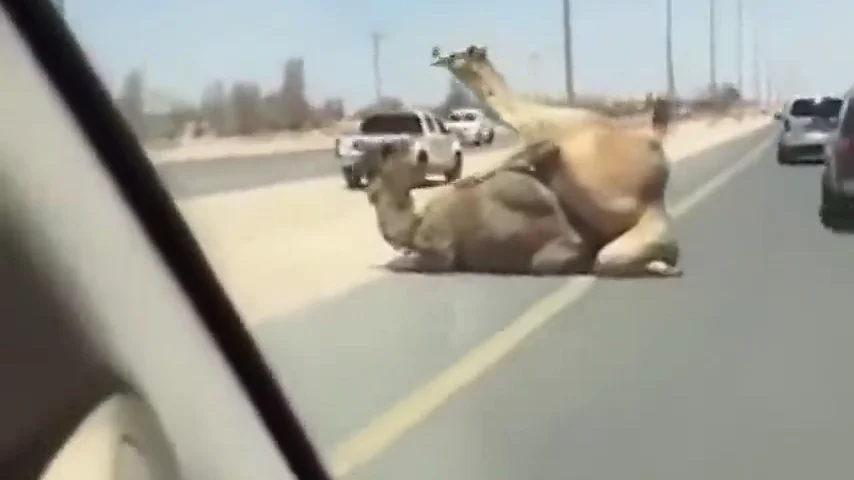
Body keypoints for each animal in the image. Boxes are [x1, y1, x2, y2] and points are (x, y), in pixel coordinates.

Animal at [434, 46, 684, 278]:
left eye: (457, 54)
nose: (436, 55)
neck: (527, 116)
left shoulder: (545, 144)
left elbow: (508, 161)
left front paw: (464, 181)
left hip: (642, 235)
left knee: (609, 260)